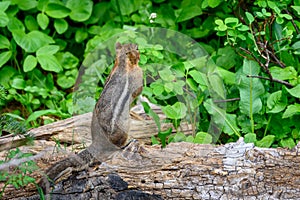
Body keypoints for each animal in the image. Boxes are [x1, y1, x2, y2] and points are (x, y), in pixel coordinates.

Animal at [38, 43, 143, 193]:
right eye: (136, 48)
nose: (139, 48)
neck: (122, 64)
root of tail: (97, 142)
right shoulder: (137, 76)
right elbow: (138, 90)